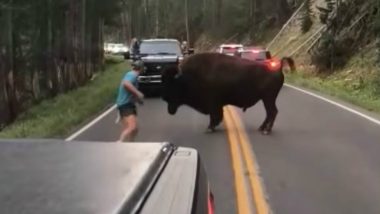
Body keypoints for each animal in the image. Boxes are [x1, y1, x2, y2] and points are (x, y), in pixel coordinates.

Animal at [162, 52, 296, 135]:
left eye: (172, 83)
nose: (164, 97)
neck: (187, 77)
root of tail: (278, 67)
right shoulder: (216, 104)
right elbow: (217, 116)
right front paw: (211, 127)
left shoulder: (213, 103)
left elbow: (214, 116)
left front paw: (209, 128)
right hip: (266, 99)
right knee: (270, 113)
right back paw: (261, 128)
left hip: (268, 98)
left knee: (272, 112)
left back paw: (266, 131)